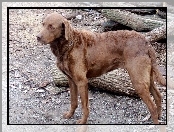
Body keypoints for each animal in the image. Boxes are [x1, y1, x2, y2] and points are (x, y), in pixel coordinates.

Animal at [36, 12, 166, 124]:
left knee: (152, 106)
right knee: (158, 96)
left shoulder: (82, 81)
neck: (69, 45)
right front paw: (69, 115)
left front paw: (83, 122)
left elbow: (84, 105)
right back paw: (160, 117)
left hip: (138, 80)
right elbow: (73, 101)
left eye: (51, 27)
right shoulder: (71, 80)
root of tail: (146, 42)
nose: (37, 37)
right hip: (147, 76)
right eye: (43, 24)